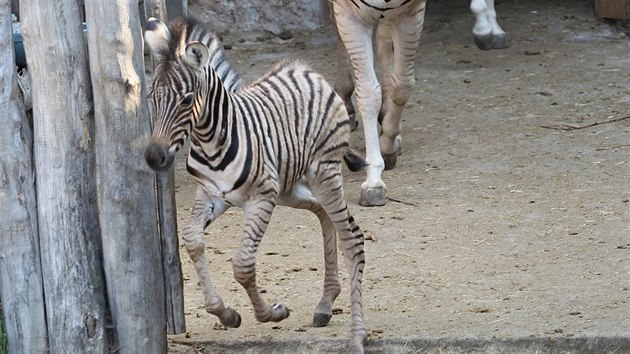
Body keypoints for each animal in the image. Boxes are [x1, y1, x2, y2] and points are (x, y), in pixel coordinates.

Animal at [143, 15, 370, 352]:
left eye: (186, 100)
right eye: (152, 98)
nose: (154, 158)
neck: (210, 140)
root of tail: (306, 71)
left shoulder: (262, 196)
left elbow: (242, 265)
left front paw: (271, 313)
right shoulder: (211, 194)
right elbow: (193, 240)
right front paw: (225, 314)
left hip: (323, 173)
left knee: (352, 238)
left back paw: (357, 336)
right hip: (291, 187)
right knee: (323, 214)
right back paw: (326, 304)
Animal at [334, 0, 506, 206]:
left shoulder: (411, 14)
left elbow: (402, 85)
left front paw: (388, 143)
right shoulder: (349, 15)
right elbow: (369, 93)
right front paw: (374, 180)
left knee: (385, 39)